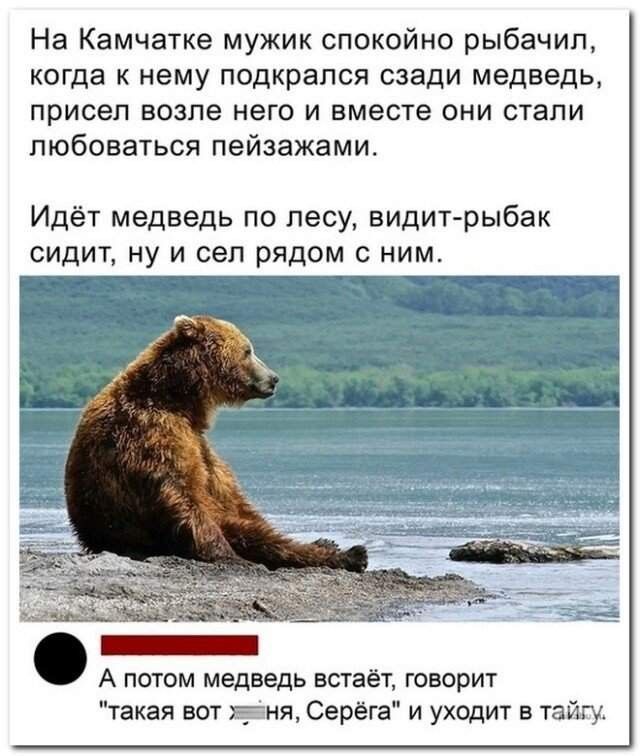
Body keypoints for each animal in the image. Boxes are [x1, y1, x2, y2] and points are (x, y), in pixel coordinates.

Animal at [65, 315, 368, 573]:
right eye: (247, 350)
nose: (273, 378)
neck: (178, 400)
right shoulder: (153, 433)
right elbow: (184, 495)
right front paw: (230, 556)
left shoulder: (200, 444)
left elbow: (228, 493)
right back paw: (351, 554)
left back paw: (329, 544)